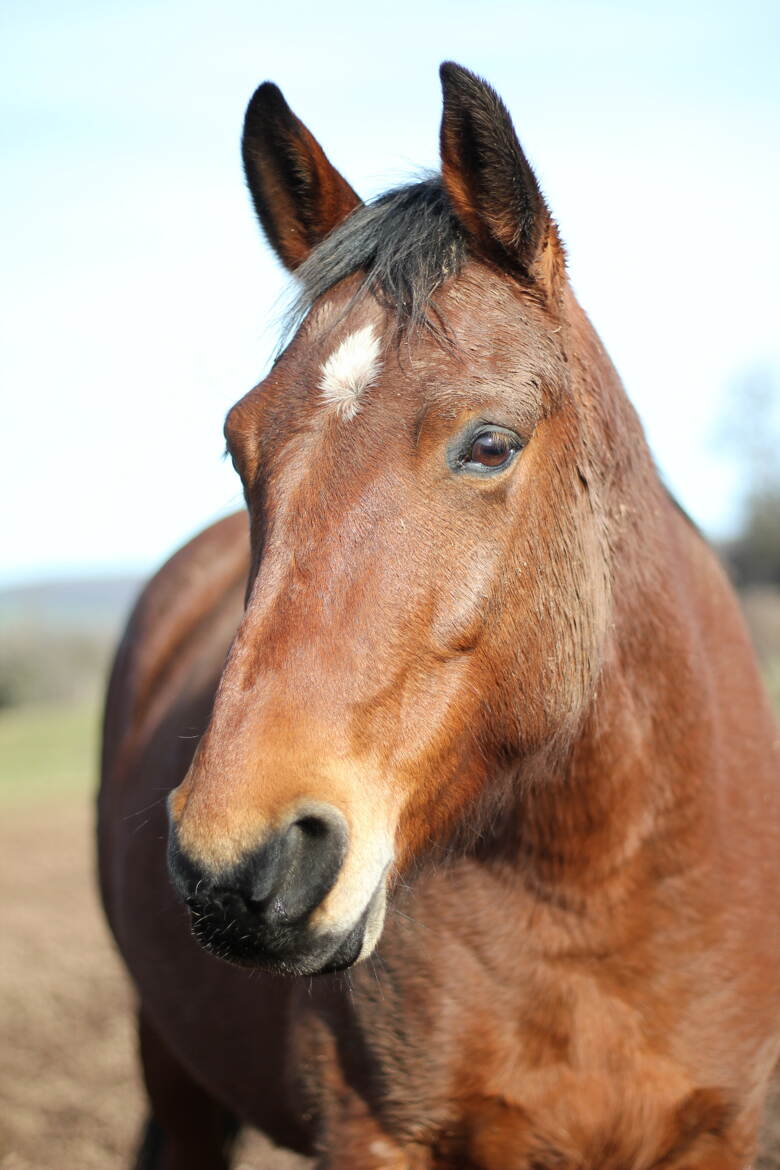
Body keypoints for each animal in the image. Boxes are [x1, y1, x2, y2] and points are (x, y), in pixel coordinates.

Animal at [97, 64, 780, 1170]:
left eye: (491, 444)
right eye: (240, 443)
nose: (239, 865)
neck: (592, 892)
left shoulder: (719, 1130)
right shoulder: (376, 1133)